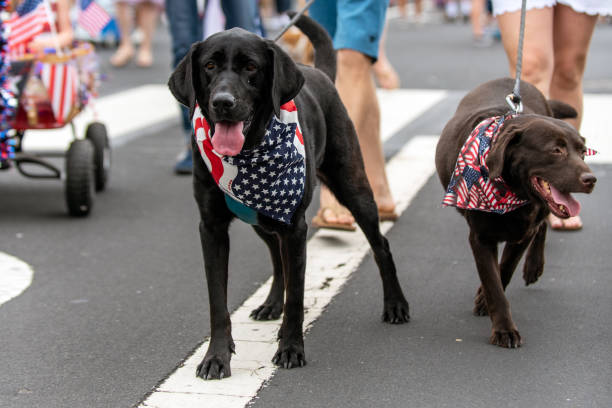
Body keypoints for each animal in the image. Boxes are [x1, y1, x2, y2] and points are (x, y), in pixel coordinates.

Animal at [167, 15, 408, 380]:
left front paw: (291, 348)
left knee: (380, 244)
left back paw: (395, 304)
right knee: (276, 257)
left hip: (354, 188)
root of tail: (319, 73)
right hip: (262, 221)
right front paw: (216, 357)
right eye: (209, 66)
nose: (222, 102)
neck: (248, 152)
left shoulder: (295, 228)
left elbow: (296, 296)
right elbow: (217, 301)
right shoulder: (211, 229)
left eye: (251, 66)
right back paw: (271, 305)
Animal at [436, 79, 596, 348]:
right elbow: (493, 283)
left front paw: (484, 301)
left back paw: (534, 266)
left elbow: (505, 270)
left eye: (583, 151)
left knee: (543, 226)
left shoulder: (523, 233)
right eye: (556, 150)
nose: (591, 179)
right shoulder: (480, 238)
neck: (510, 191)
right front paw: (504, 330)